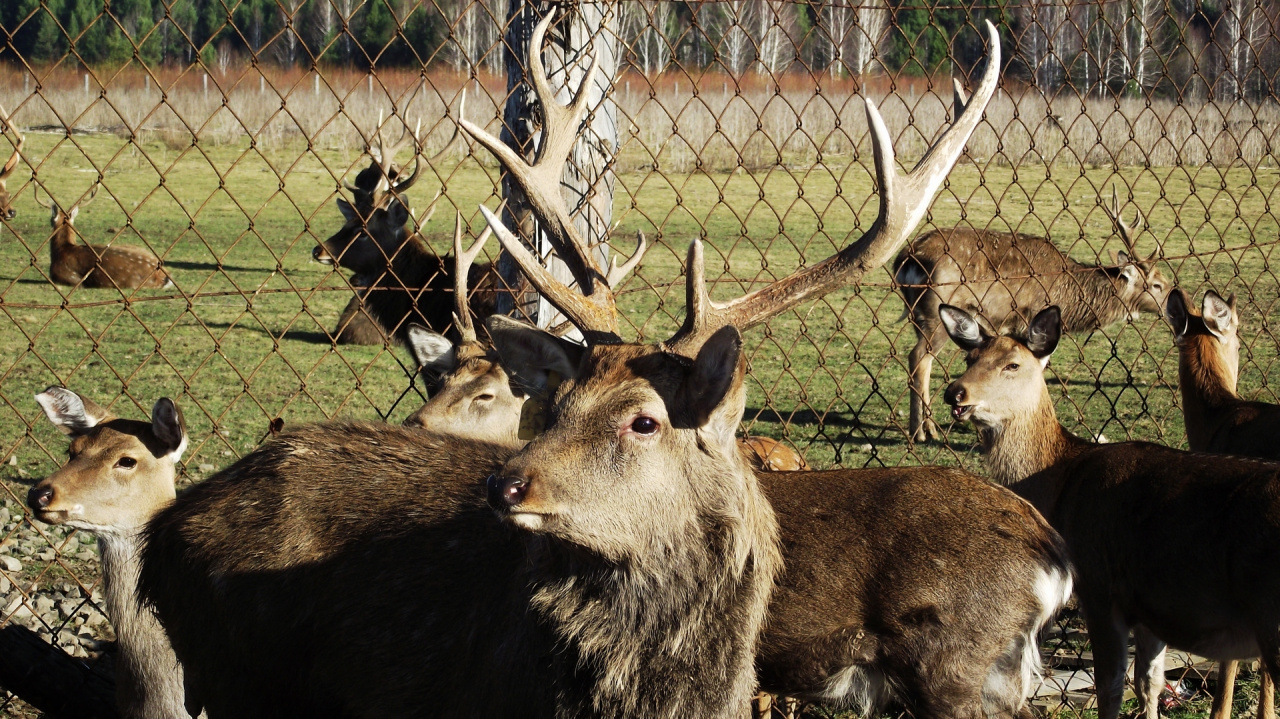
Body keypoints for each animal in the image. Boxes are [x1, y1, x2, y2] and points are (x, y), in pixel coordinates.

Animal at [890, 184, 1172, 442]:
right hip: (935, 313)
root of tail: (905, 259)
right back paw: (922, 431)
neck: (1068, 294)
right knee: (918, 358)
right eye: (1157, 285)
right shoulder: (1030, 318)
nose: (1174, 300)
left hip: (919, 317)